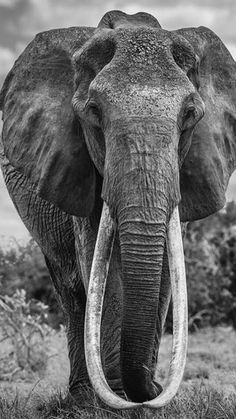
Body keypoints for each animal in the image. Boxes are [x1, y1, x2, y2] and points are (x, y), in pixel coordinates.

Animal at [0, 8, 236, 410]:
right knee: (73, 290)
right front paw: (117, 401)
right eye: (94, 112)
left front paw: (145, 397)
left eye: (190, 114)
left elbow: (166, 268)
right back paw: (82, 397)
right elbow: (102, 263)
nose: (153, 391)